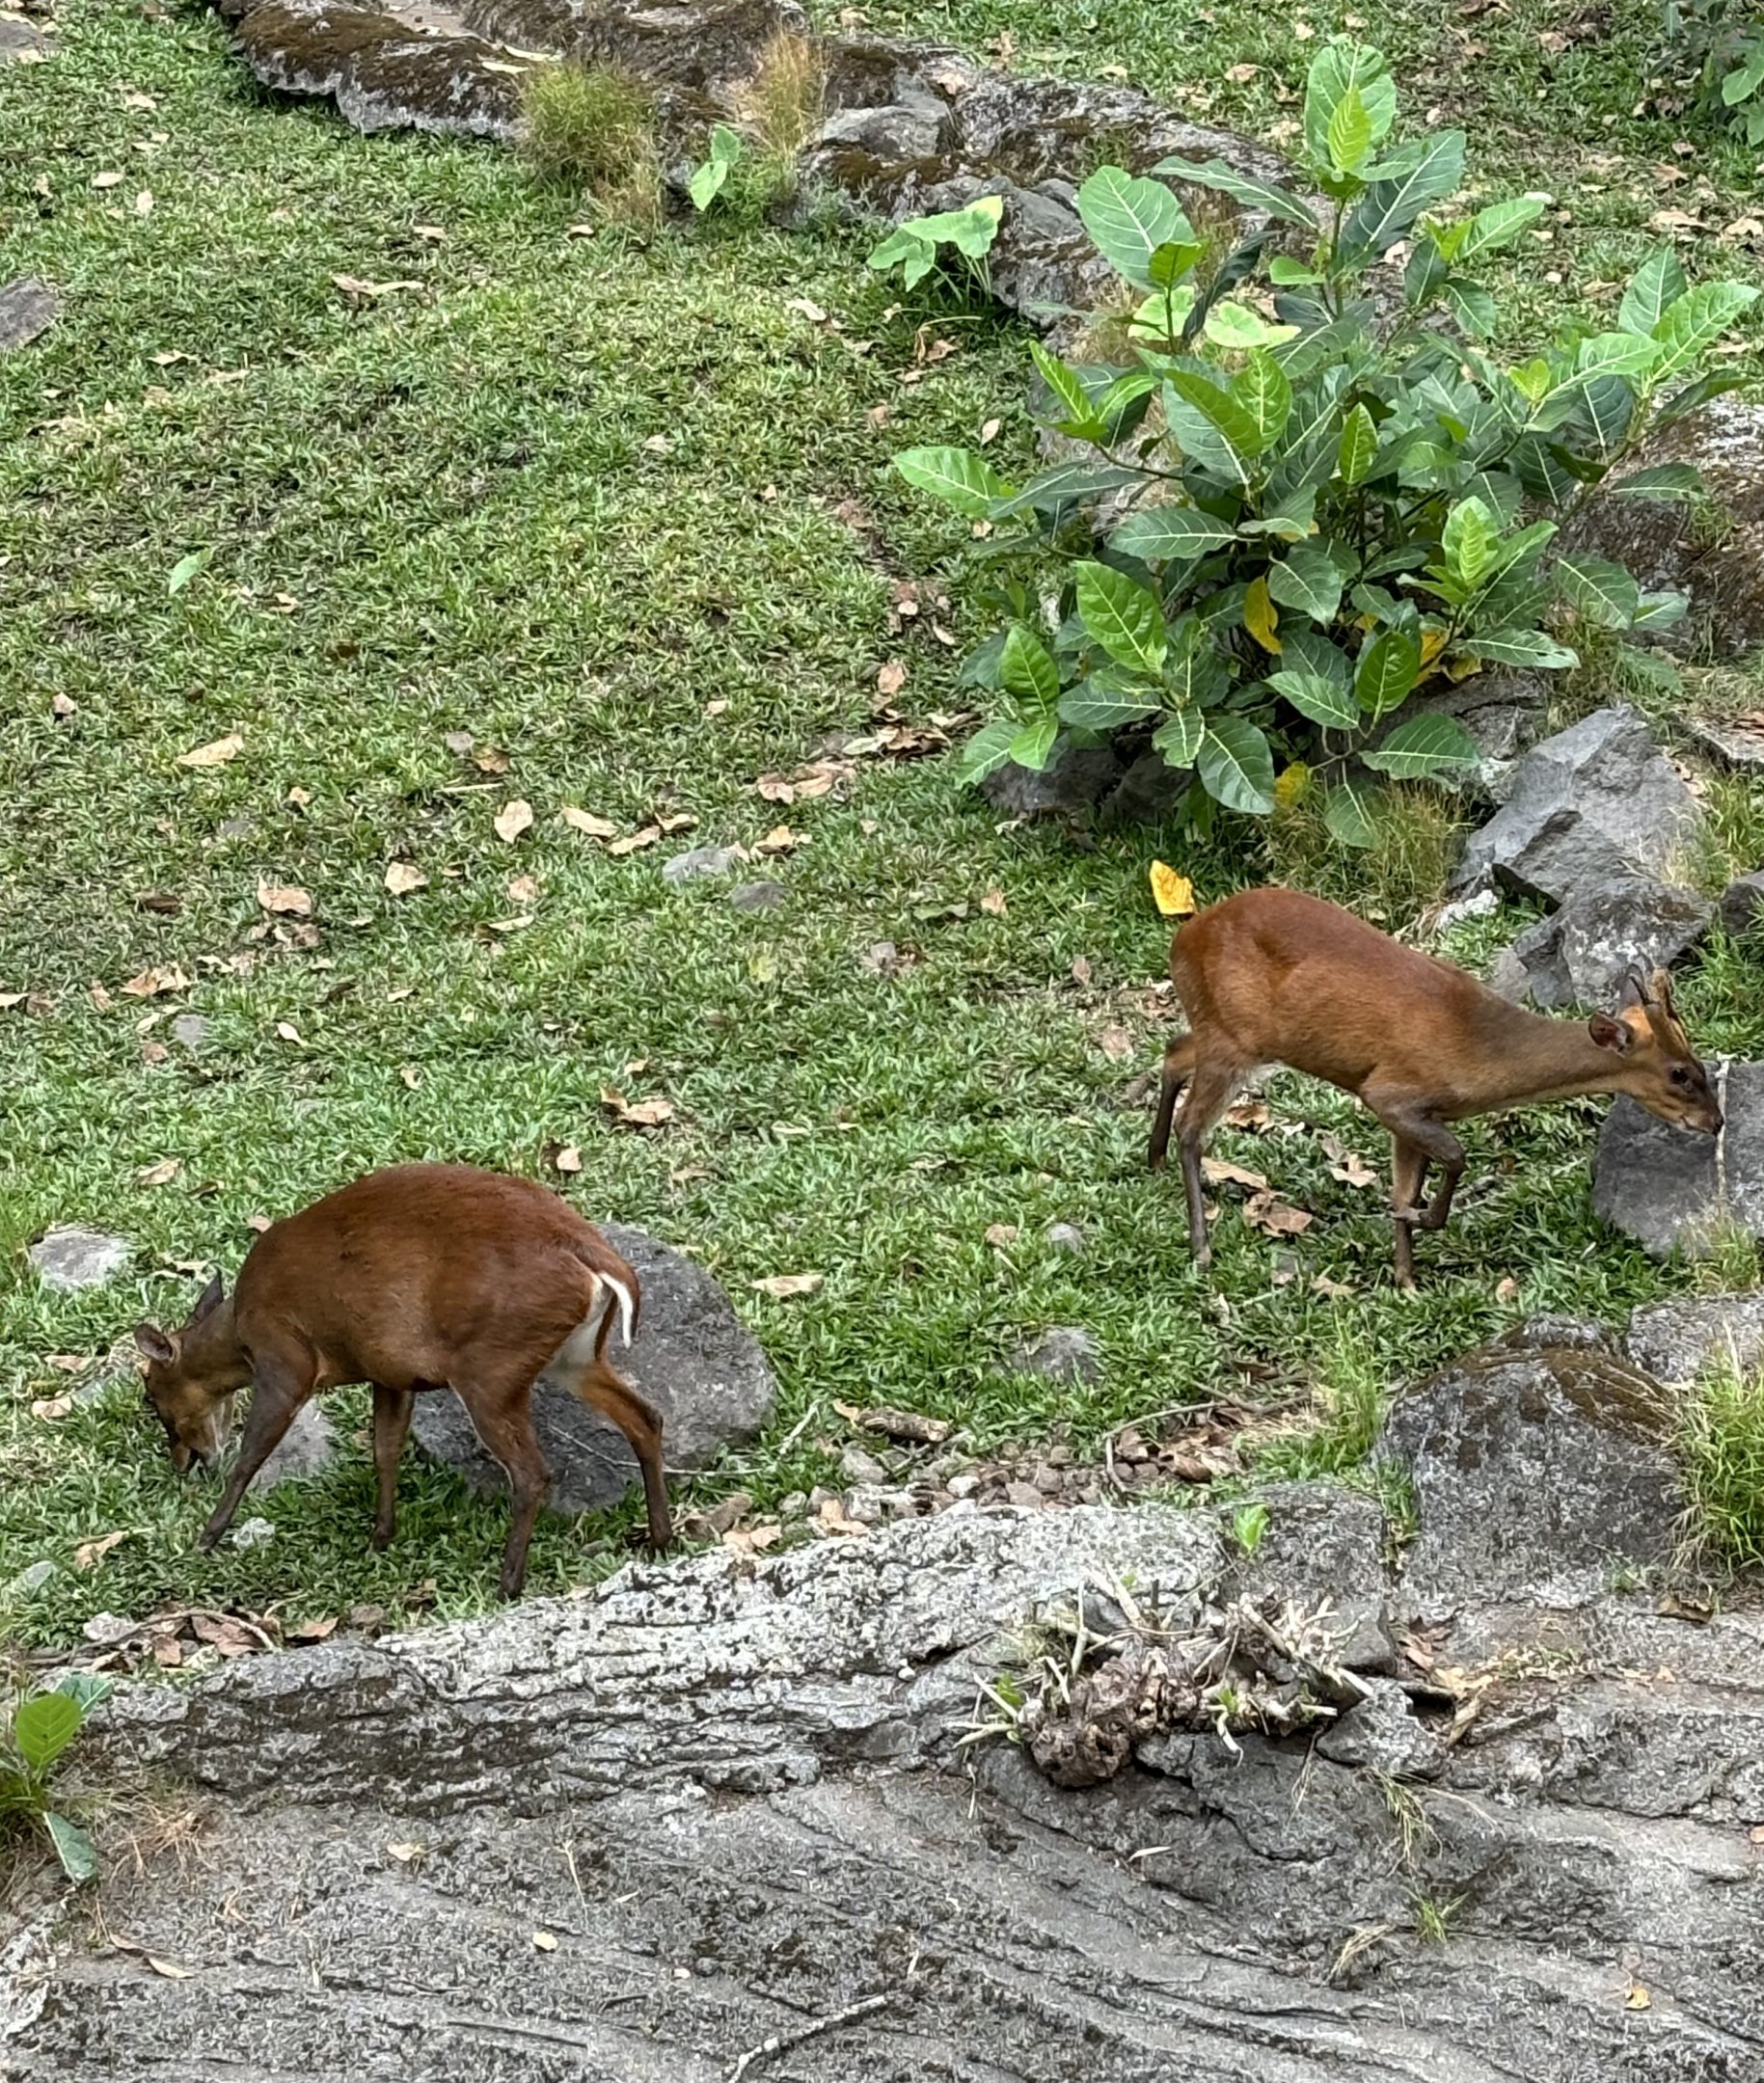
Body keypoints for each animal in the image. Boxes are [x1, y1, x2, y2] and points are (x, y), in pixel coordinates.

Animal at [131, 1163, 672, 1598]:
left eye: (151, 1396)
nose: (182, 1460)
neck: (239, 1328)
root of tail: (599, 1263)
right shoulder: (391, 1374)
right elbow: (385, 1450)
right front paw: (381, 1537)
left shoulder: (286, 1361)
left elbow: (250, 1457)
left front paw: (206, 1538)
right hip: (574, 1357)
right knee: (645, 1418)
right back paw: (661, 1539)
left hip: (491, 1367)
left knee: (532, 1471)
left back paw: (507, 1584)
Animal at [1147, 887, 1722, 1287]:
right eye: (1679, 1074)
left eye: (1698, 1060)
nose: (1715, 1122)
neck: (1479, 1050)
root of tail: (1181, 940)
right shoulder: (1391, 1092)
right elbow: (1456, 1159)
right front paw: (1419, 1221)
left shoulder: (1417, 1115)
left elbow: (1408, 1183)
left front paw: (1406, 1277)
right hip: (1233, 1039)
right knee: (1192, 1129)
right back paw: (1200, 1245)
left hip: (1232, 1033)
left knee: (1174, 1052)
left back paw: (1153, 1161)